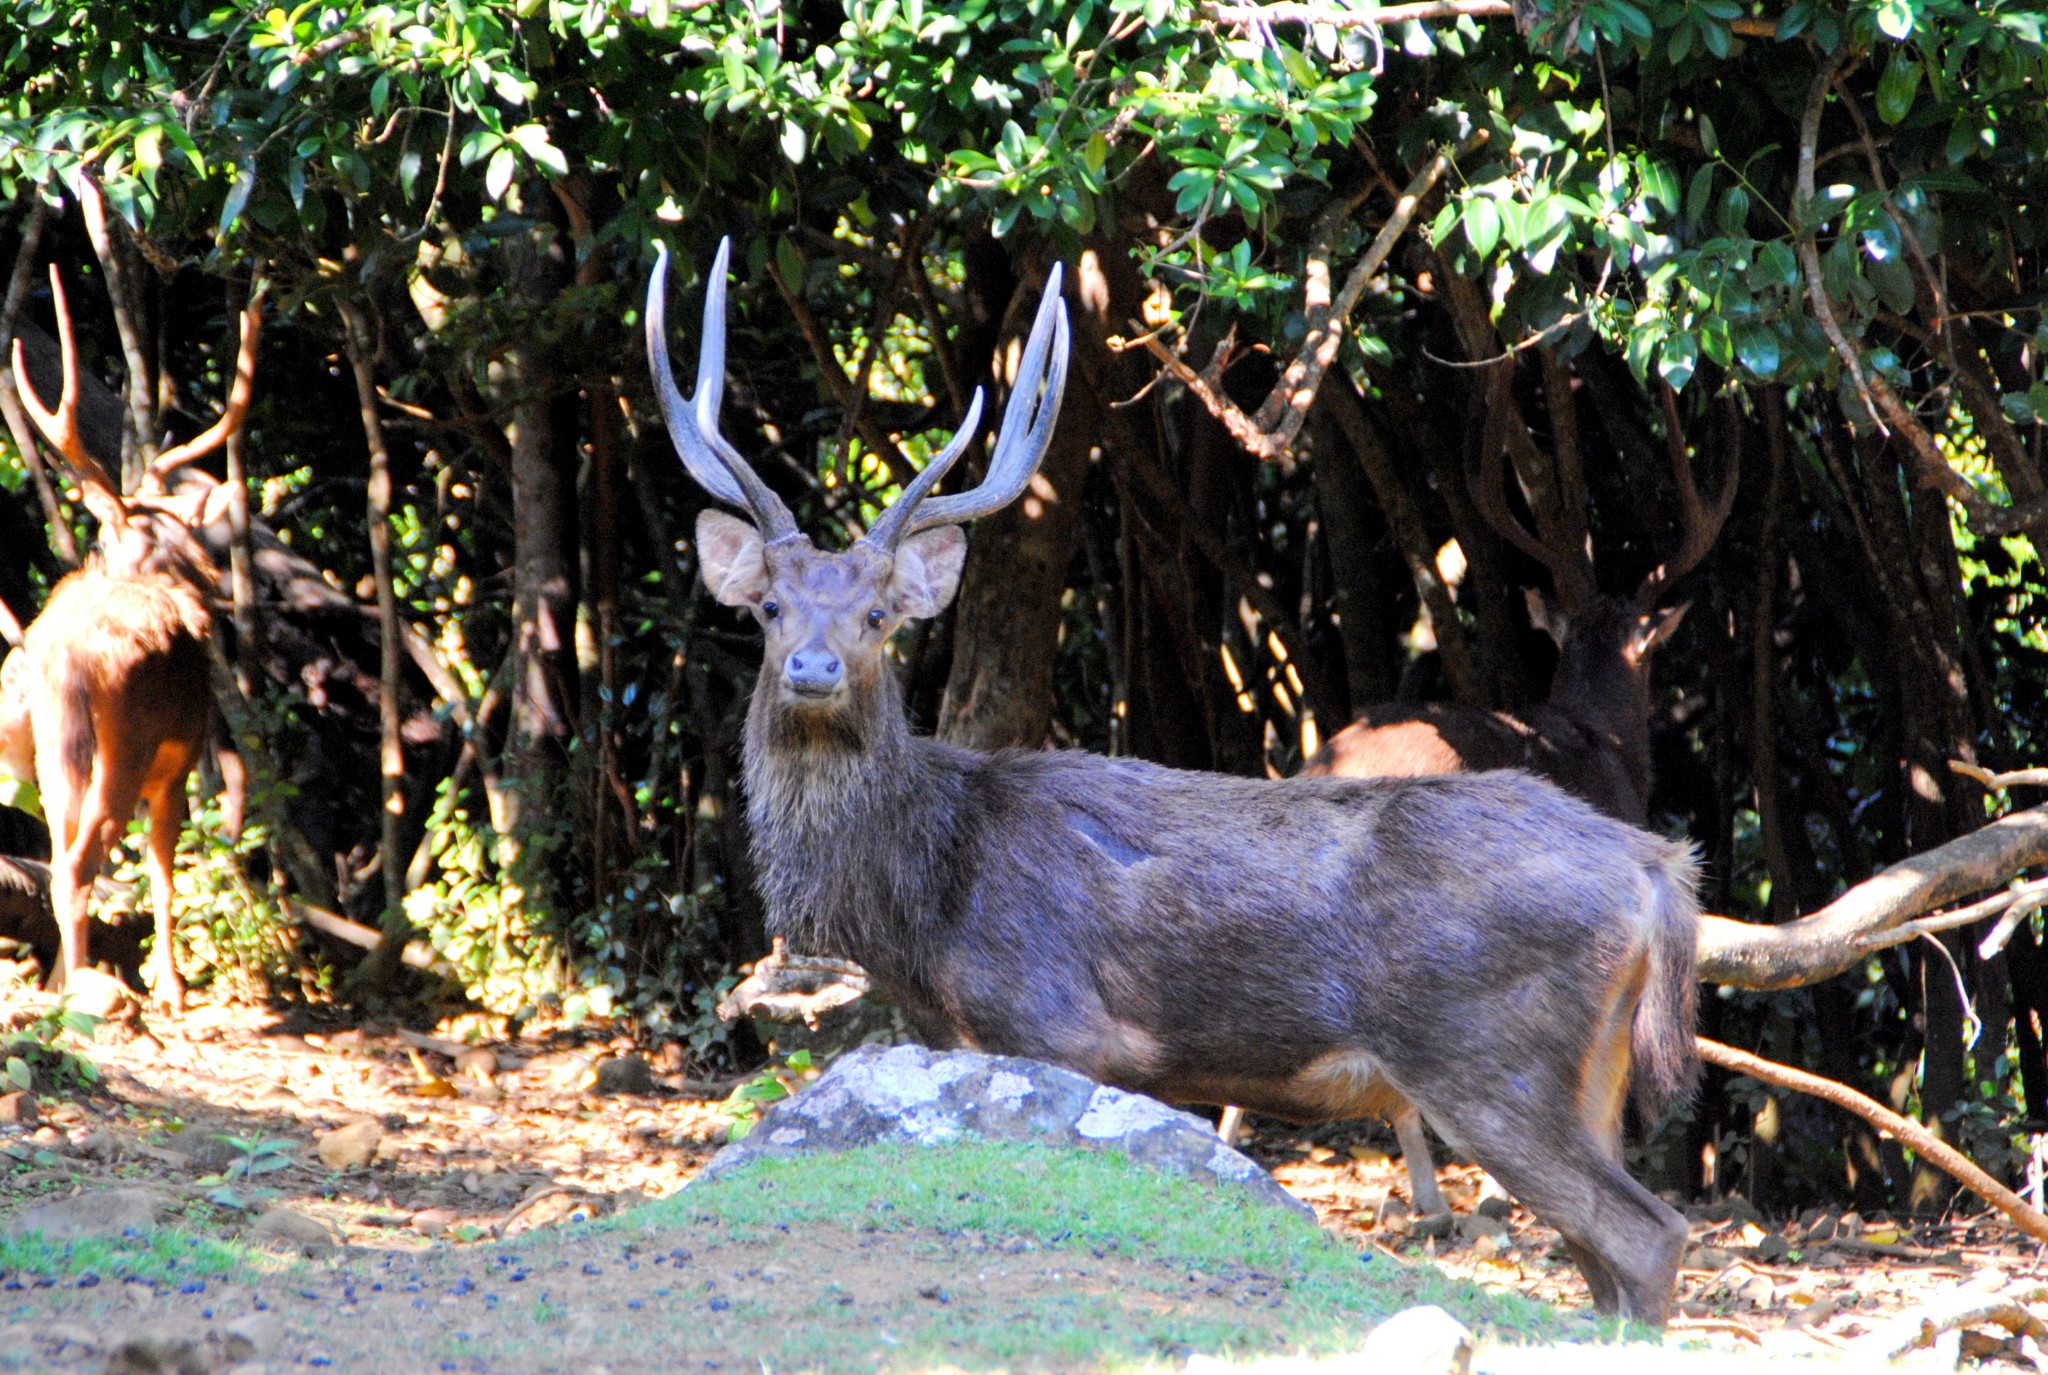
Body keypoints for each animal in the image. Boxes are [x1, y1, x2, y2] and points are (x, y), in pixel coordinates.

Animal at [4, 268, 264, 1004]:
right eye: (181, 529)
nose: (212, 572)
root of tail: (63, 660)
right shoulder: (179, 764)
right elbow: (165, 873)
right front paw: (173, 987)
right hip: (125, 748)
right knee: (80, 863)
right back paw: (93, 994)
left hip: (50, 750)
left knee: (58, 857)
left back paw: (65, 985)